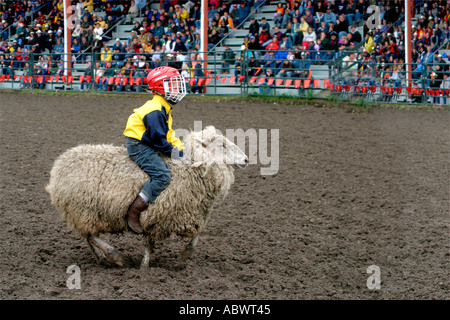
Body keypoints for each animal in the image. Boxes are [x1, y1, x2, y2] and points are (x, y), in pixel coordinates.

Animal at [45, 125, 250, 268]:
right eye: (222, 145)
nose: (247, 159)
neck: (191, 169)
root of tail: (59, 165)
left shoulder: (190, 215)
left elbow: (197, 236)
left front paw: (184, 257)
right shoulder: (157, 216)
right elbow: (150, 246)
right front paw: (144, 269)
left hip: (83, 212)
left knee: (88, 236)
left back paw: (101, 257)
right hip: (82, 209)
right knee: (90, 235)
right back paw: (114, 256)